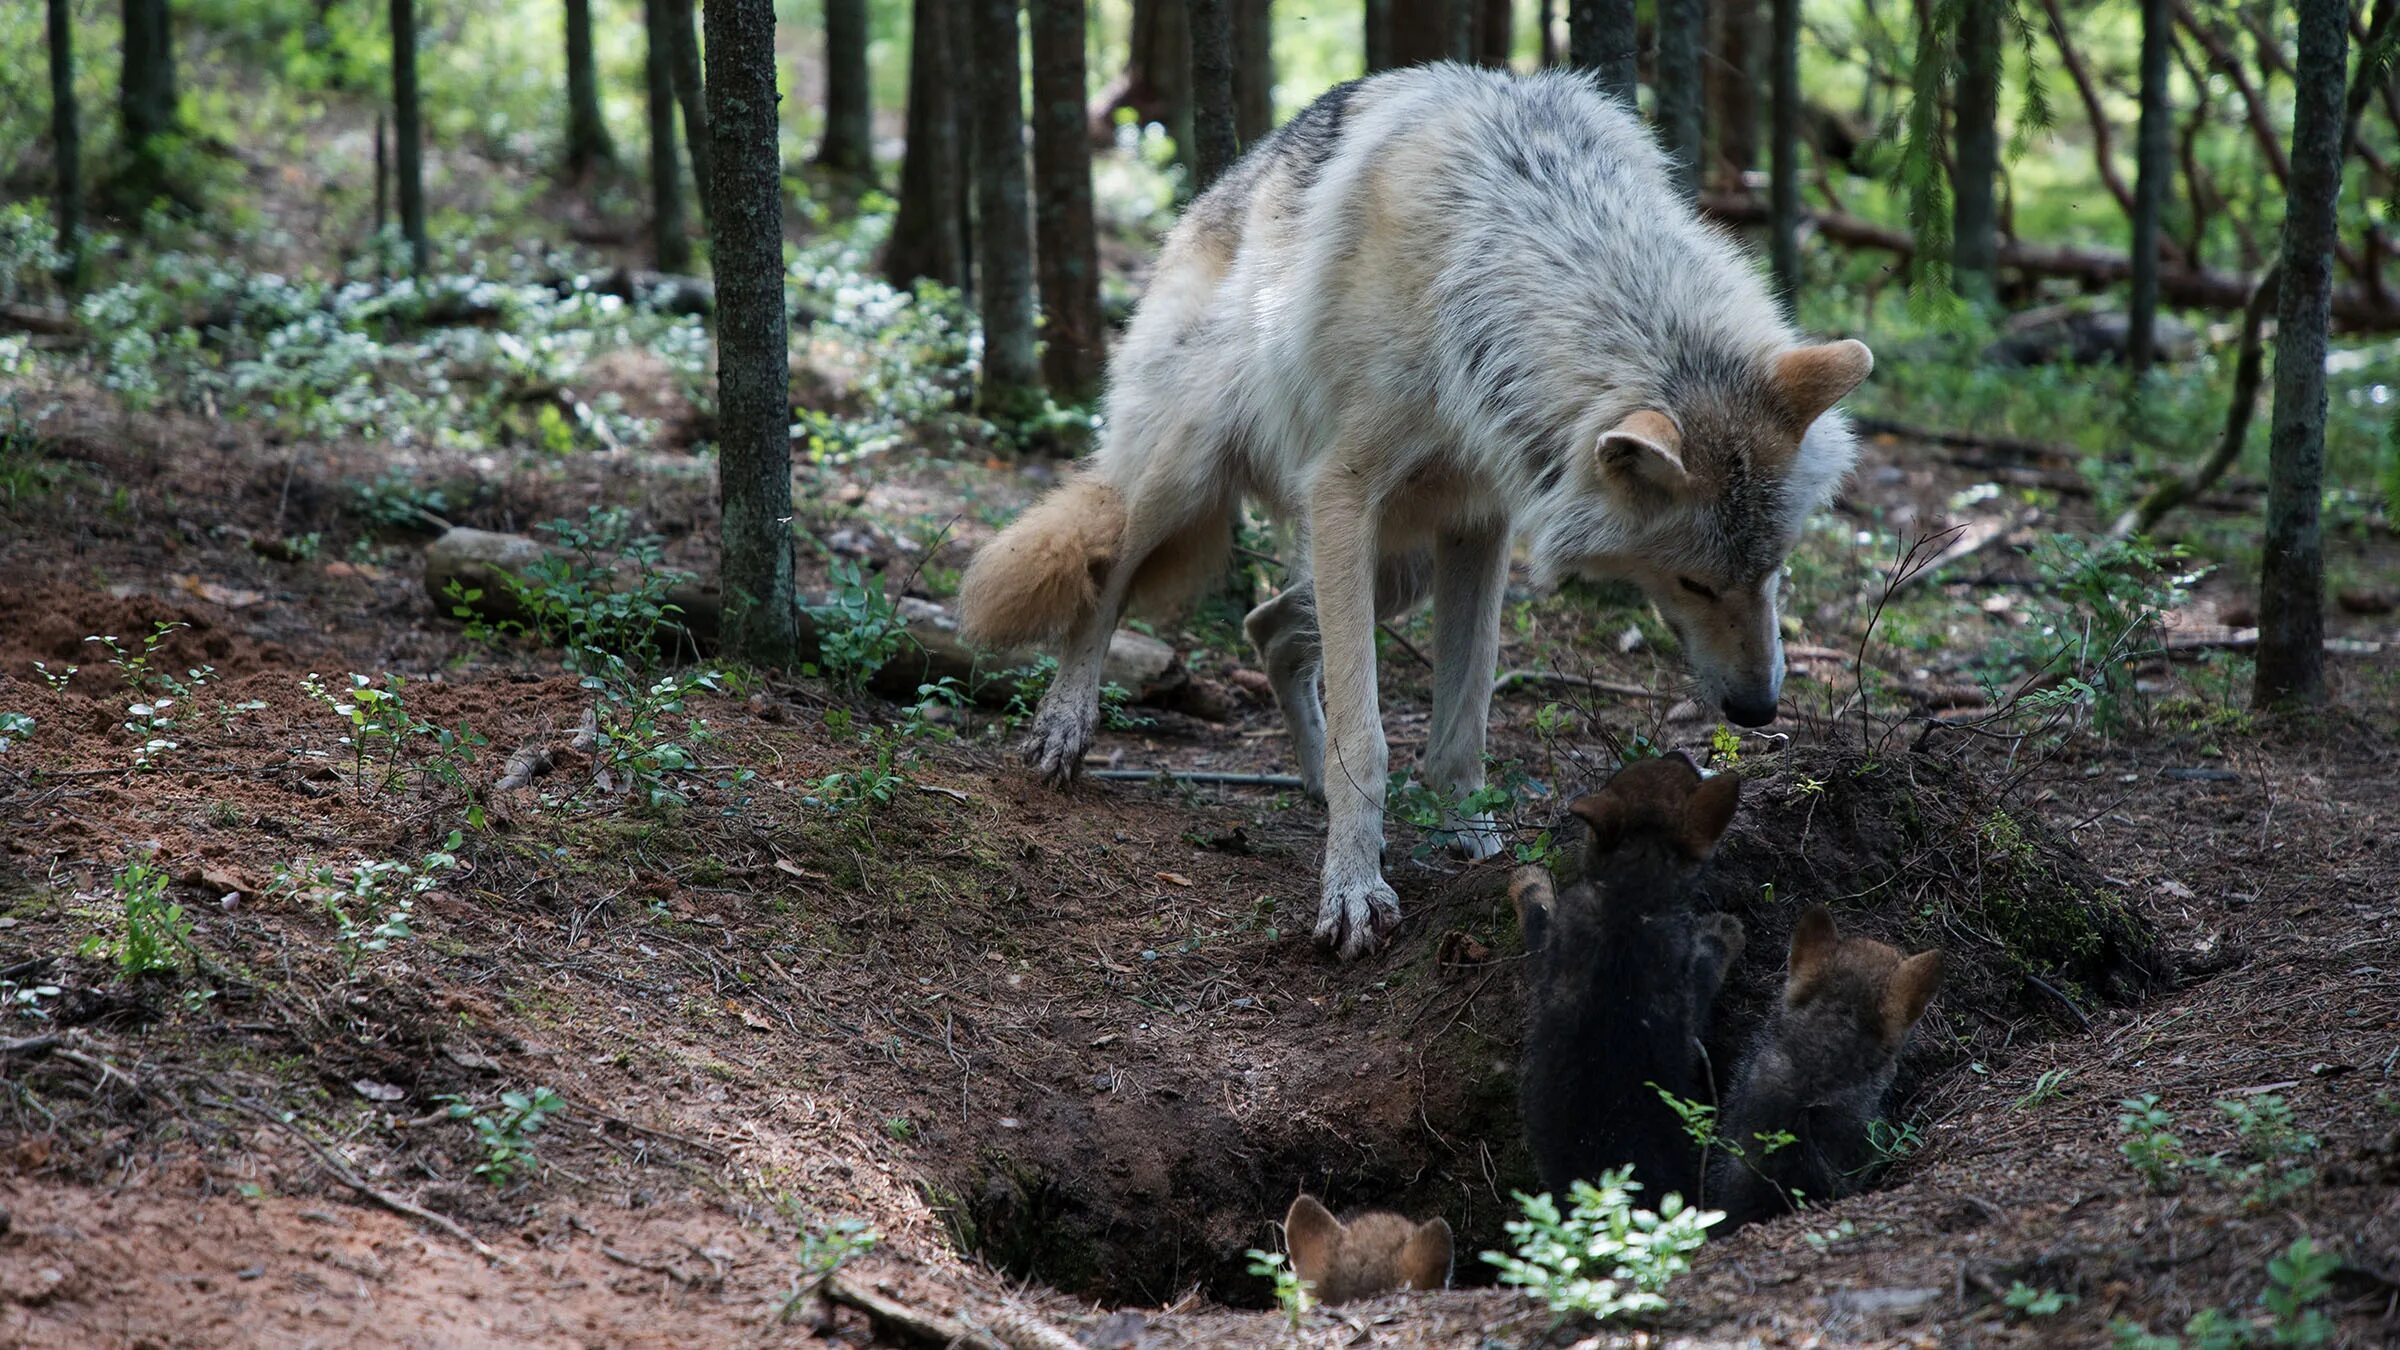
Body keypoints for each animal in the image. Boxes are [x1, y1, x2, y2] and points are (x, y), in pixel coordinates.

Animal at [955, 63, 1872, 956]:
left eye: (1772, 570)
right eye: (1694, 583)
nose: (1759, 709)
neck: (1490, 257)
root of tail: (1213, 195)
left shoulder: (1480, 524)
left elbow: (1462, 725)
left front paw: (1477, 841)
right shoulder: (1342, 490)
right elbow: (1368, 732)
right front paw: (1353, 892)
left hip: (1400, 571)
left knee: (1267, 627)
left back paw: (1313, 783)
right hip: (1191, 478)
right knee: (1110, 570)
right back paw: (1065, 725)